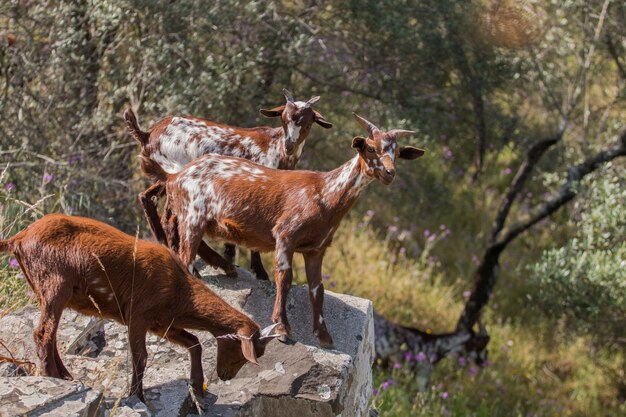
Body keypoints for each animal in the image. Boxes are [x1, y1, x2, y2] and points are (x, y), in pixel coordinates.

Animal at [0, 214, 278, 400]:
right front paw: (136, 395)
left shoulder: (164, 325)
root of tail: (18, 238)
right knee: (43, 333)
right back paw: (53, 376)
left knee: (51, 334)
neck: (179, 289)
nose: (225, 376)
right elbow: (140, 356)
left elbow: (194, 343)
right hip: (54, 285)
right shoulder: (138, 314)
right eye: (246, 351)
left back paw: (66, 376)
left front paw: (198, 388)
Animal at [121, 90, 332, 280]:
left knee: (147, 198)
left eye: (308, 123)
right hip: (179, 176)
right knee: (171, 219)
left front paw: (234, 258)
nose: (289, 145)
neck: (276, 149)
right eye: (283, 119)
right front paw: (260, 272)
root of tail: (148, 134)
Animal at [140, 112, 424, 346]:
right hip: (193, 217)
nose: (390, 173)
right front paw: (282, 328)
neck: (324, 194)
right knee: (184, 257)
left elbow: (317, 289)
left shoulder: (316, 249)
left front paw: (324, 336)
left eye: (398, 153)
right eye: (372, 148)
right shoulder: (286, 235)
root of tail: (175, 177)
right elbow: (284, 279)